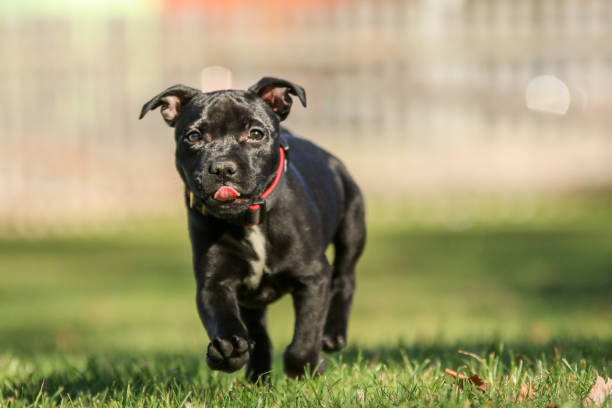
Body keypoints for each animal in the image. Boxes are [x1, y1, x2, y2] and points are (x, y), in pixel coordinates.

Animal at [141, 77, 366, 382]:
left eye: (256, 133)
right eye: (194, 136)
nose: (222, 168)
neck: (249, 217)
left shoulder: (313, 277)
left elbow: (306, 333)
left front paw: (305, 367)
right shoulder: (214, 283)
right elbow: (223, 318)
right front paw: (229, 351)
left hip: (352, 224)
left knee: (345, 277)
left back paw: (333, 335)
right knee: (259, 331)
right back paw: (256, 373)